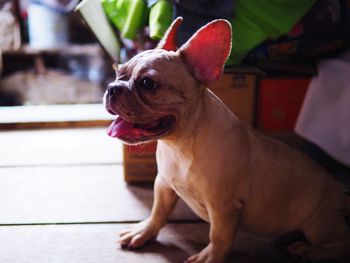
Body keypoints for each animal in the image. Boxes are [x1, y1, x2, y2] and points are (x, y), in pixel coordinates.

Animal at [104, 17, 350, 262]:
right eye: (118, 73)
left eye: (148, 84)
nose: (112, 88)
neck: (181, 145)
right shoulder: (163, 184)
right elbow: (158, 212)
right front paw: (144, 231)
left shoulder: (223, 208)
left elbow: (219, 236)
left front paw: (210, 257)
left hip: (319, 224)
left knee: (341, 244)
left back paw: (310, 250)